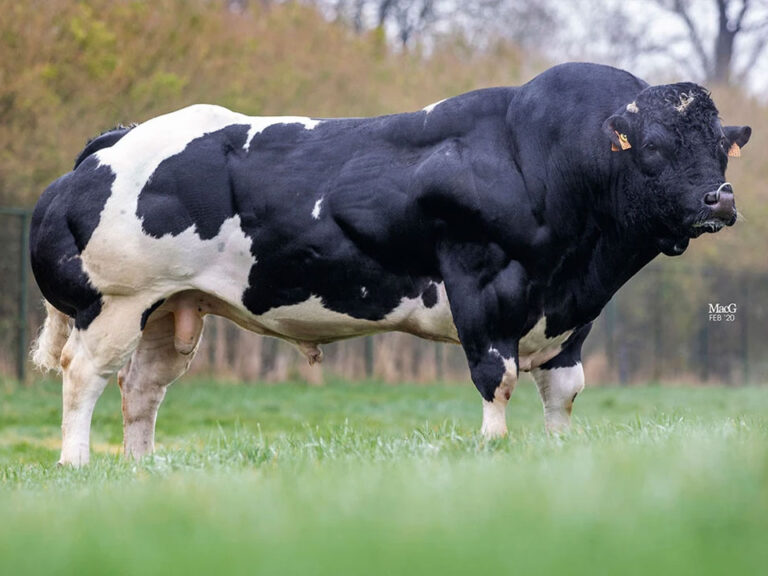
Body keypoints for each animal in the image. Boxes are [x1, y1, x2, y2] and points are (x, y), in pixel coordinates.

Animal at [29, 62, 751, 466]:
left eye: (722, 147)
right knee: (84, 377)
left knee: (141, 390)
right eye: (652, 148)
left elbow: (563, 392)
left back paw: (142, 469)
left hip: (170, 307)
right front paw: (494, 450)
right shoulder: (482, 286)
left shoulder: (572, 315)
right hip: (116, 301)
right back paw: (76, 464)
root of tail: (115, 138)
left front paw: (555, 453)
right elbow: (497, 378)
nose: (719, 197)